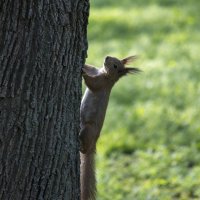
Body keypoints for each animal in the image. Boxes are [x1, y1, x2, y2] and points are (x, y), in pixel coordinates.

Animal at [79, 55, 141, 200]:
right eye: (115, 58)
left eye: (115, 66)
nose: (106, 57)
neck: (103, 73)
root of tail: (94, 144)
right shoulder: (95, 70)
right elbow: (90, 67)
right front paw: (85, 61)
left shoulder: (102, 83)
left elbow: (92, 84)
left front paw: (83, 73)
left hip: (88, 130)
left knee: (84, 148)